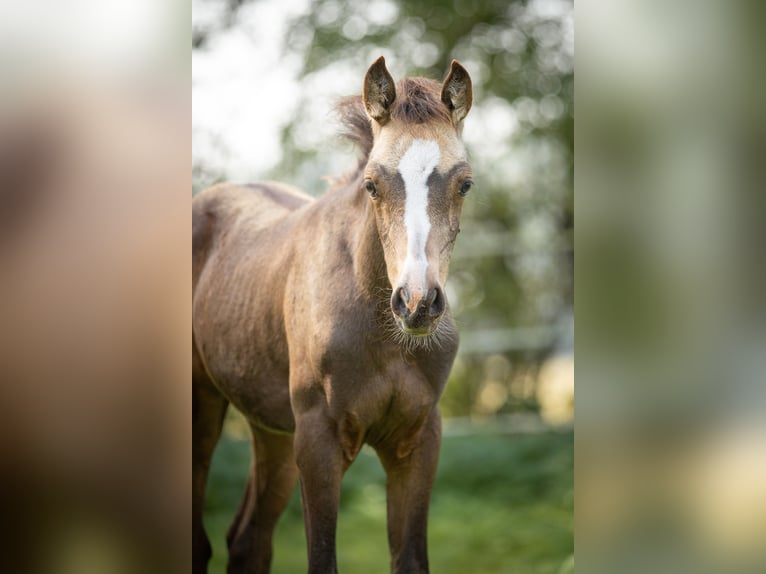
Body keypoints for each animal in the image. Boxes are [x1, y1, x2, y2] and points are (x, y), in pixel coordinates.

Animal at [194, 55, 474, 574]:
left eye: (465, 183)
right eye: (371, 184)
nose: (417, 302)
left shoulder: (417, 441)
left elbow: (410, 558)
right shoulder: (318, 441)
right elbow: (322, 558)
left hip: (272, 429)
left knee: (248, 541)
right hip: (204, 405)